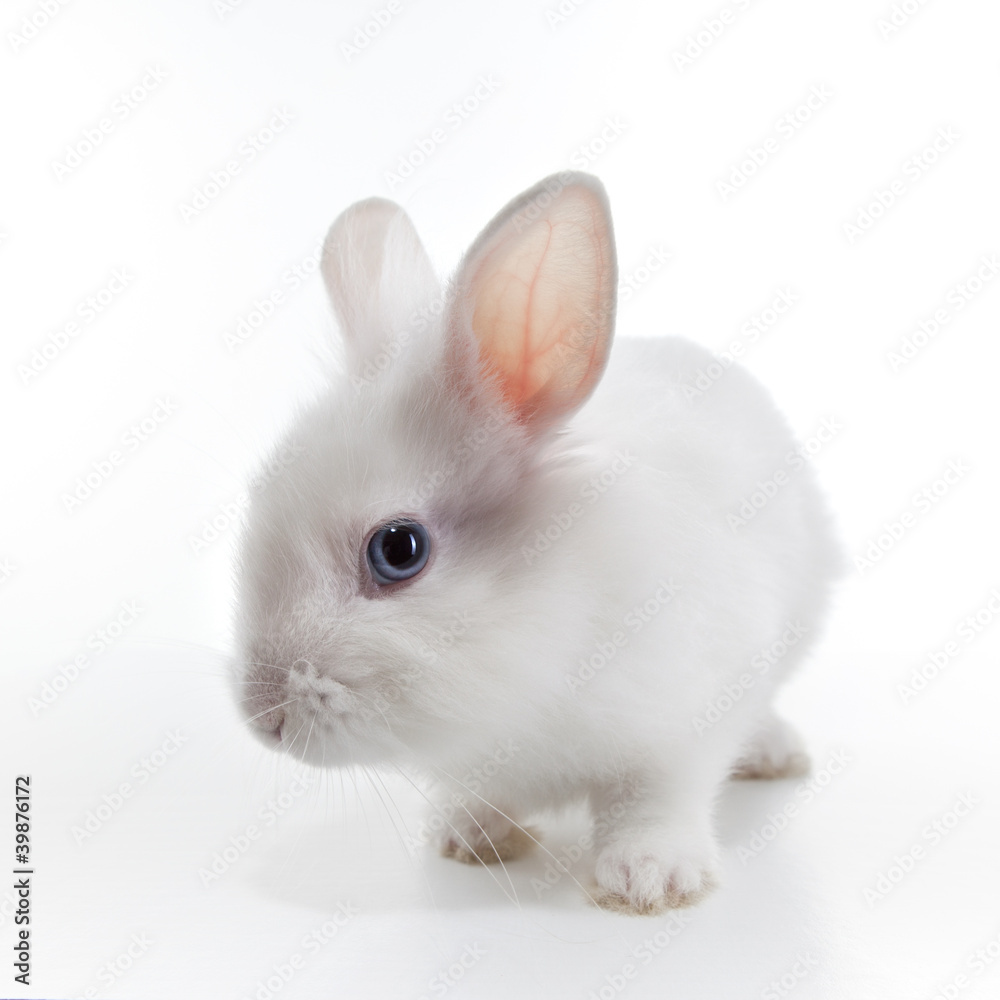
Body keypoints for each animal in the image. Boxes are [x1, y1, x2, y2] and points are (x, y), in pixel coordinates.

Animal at [236, 172, 844, 916]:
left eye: (399, 550)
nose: (261, 717)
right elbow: (482, 793)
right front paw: (471, 839)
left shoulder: (687, 716)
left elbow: (655, 797)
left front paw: (648, 881)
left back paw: (776, 756)